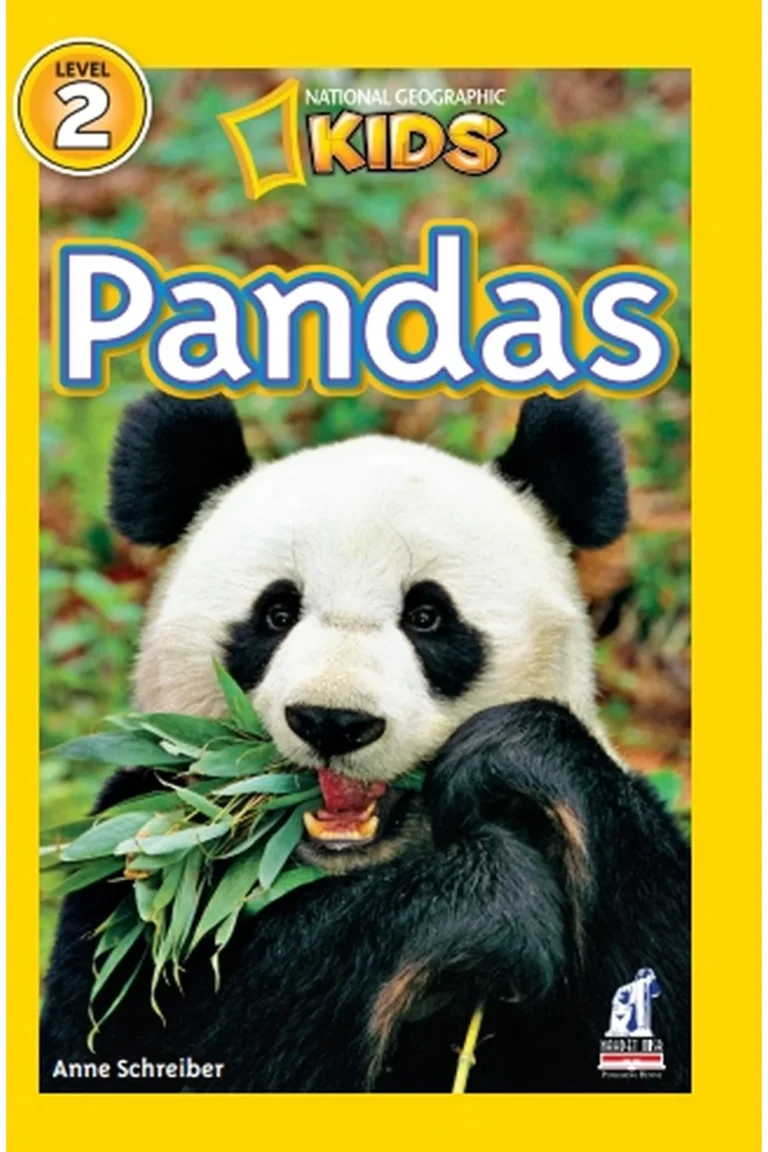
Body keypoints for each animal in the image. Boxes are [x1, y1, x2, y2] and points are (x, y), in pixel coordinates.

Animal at [41, 391, 690, 1093]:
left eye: (428, 617)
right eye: (276, 613)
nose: (332, 720)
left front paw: (514, 757)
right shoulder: (140, 860)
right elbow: (143, 1041)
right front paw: (488, 897)